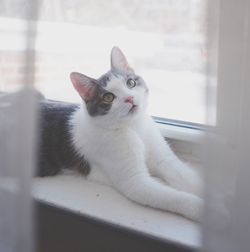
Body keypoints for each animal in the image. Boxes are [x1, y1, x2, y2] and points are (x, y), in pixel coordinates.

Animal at [38, 46, 203, 220]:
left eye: (130, 83)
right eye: (108, 97)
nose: (129, 98)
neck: (134, 127)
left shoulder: (164, 159)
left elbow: (186, 177)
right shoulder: (135, 183)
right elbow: (174, 197)